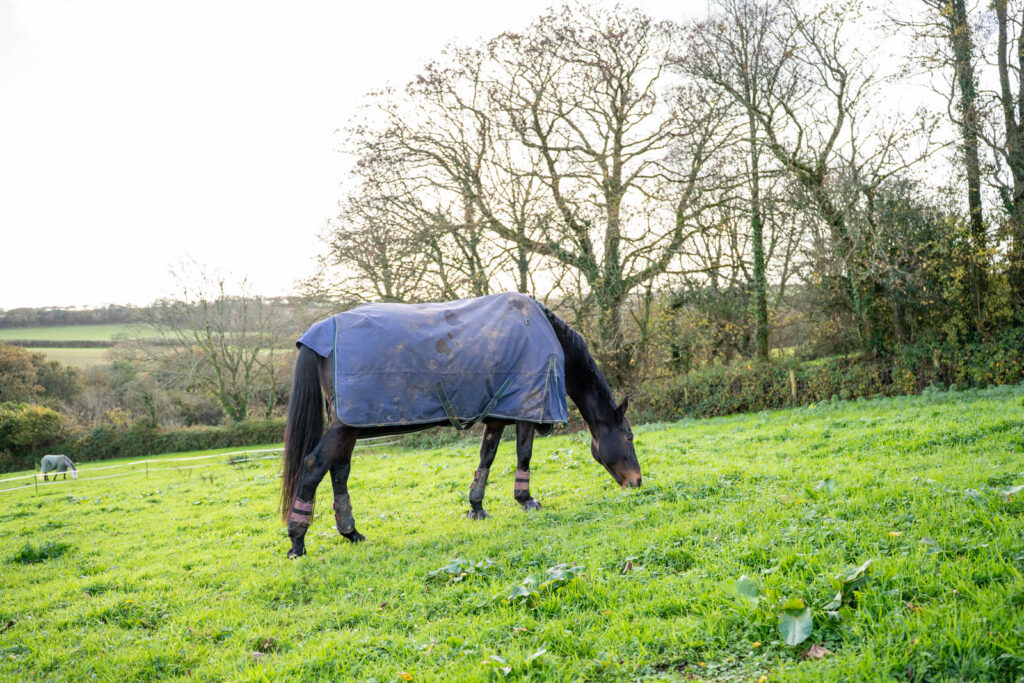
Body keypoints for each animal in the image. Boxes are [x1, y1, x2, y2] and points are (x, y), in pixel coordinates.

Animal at [280, 292, 641, 558]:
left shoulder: (497, 415)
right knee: (313, 466)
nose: (637, 481)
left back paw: (350, 532)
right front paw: (526, 500)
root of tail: (317, 335)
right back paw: (297, 541)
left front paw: (476, 507)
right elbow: (523, 455)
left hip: (349, 427)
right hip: (345, 427)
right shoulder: (526, 411)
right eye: (628, 437)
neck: (542, 334)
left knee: (339, 471)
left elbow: (486, 458)